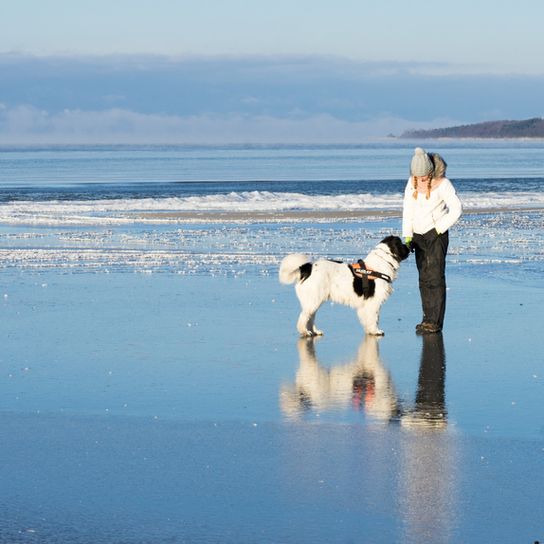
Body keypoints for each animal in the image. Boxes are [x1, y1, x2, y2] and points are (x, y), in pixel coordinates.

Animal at [280, 235, 408, 336]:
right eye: (401, 244)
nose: (409, 247)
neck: (382, 262)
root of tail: (307, 268)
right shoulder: (374, 301)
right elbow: (374, 318)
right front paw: (375, 331)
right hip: (313, 300)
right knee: (304, 318)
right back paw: (305, 332)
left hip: (314, 301)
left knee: (310, 318)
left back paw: (314, 331)